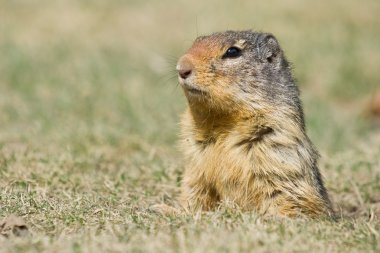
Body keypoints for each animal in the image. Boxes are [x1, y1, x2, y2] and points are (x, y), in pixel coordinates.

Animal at [174, 30, 332, 217]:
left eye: (232, 52)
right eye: (196, 42)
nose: (181, 68)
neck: (221, 122)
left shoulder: (279, 154)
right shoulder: (195, 164)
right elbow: (195, 191)